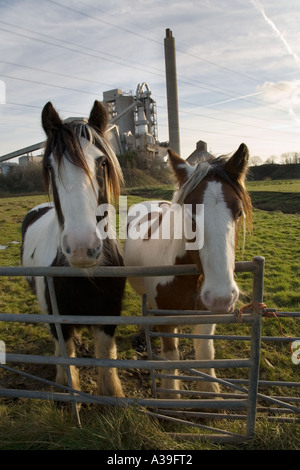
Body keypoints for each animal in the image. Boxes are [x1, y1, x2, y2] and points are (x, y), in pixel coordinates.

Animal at [21, 100, 124, 396]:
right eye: (49, 166)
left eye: (102, 162)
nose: (81, 248)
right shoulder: (58, 318)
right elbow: (66, 356)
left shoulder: (109, 315)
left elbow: (106, 358)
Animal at [123, 145, 252, 398]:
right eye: (190, 213)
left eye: (238, 212)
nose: (222, 297)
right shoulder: (166, 320)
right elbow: (171, 359)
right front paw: (170, 396)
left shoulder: (205, 318)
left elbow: (205, 355)